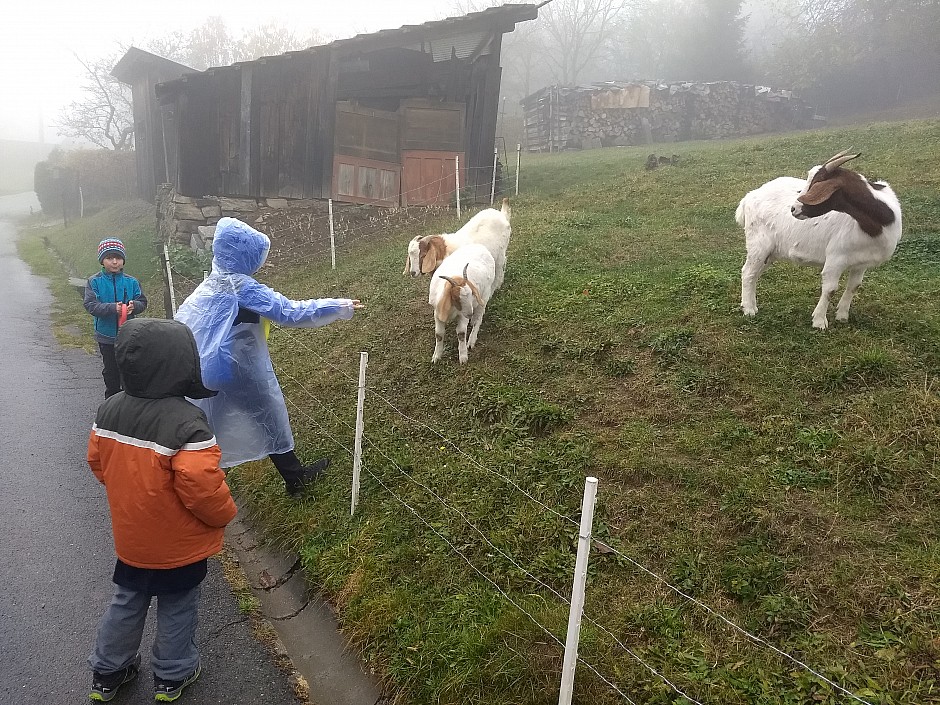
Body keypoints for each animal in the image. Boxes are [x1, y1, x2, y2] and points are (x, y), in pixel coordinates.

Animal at [736, 150, 904, 328]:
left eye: (817, 184)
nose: (793, 208)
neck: (876, 224)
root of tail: (748, 197)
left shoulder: (861, 262)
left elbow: (854, 286)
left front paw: (842, 316)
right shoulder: (836, 257)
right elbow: (830, 289)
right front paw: (819, 321)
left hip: (771, 252)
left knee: (755, 274)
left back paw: (751, 305)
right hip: (758, 245)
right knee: (748, 272)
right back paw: (749, 310)